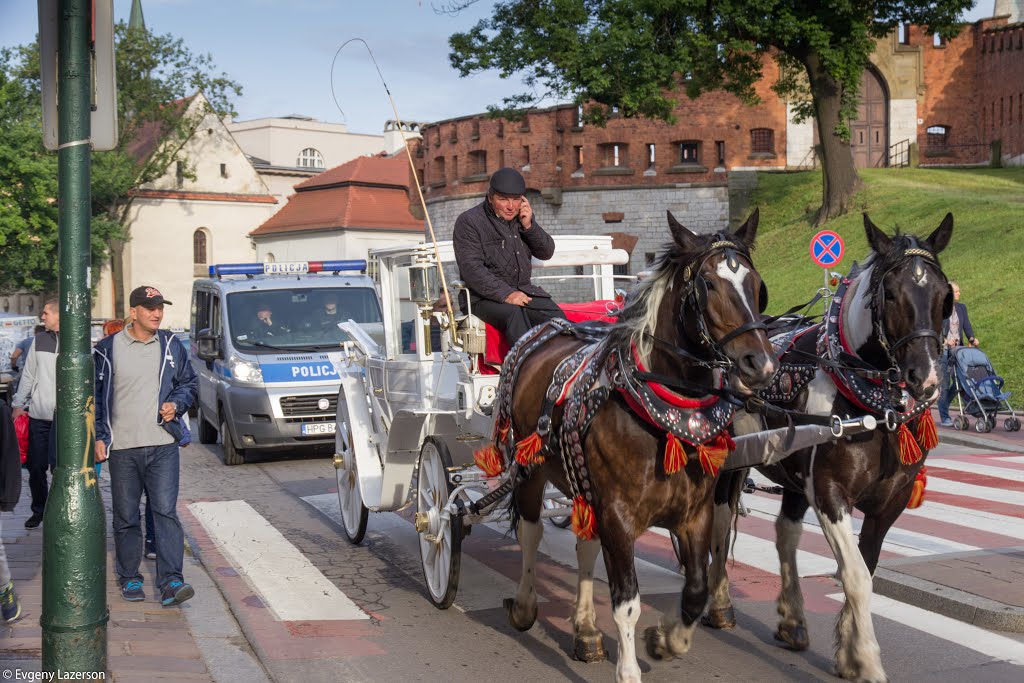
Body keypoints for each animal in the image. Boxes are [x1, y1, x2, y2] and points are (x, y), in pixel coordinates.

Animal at [495, 210, 774, 679]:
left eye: (756, 285)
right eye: (708, 284)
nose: (762, 364)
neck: (661, 411)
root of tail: (545, 329)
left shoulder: (694, 514)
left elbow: (695, 590)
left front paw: (665, 641)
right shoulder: (618, 516)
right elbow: (627, 603)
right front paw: (629, 669)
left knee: (584, 544)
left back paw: (586, 630)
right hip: (530, 469)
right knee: (532, 533)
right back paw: (524, 606)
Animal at [704, 214, 950, 683]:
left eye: (945, 295)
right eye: (891, 293)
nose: (926, 377)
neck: (871, 406)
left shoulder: (889, 501)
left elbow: (866, 569)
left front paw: (848, 653)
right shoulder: (831, 492)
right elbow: (854, 574)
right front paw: (867, 659)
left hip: (792, 472)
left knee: (784, 532)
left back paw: (792, 620)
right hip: (728, 463)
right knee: (719, 523)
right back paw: (719, 603)